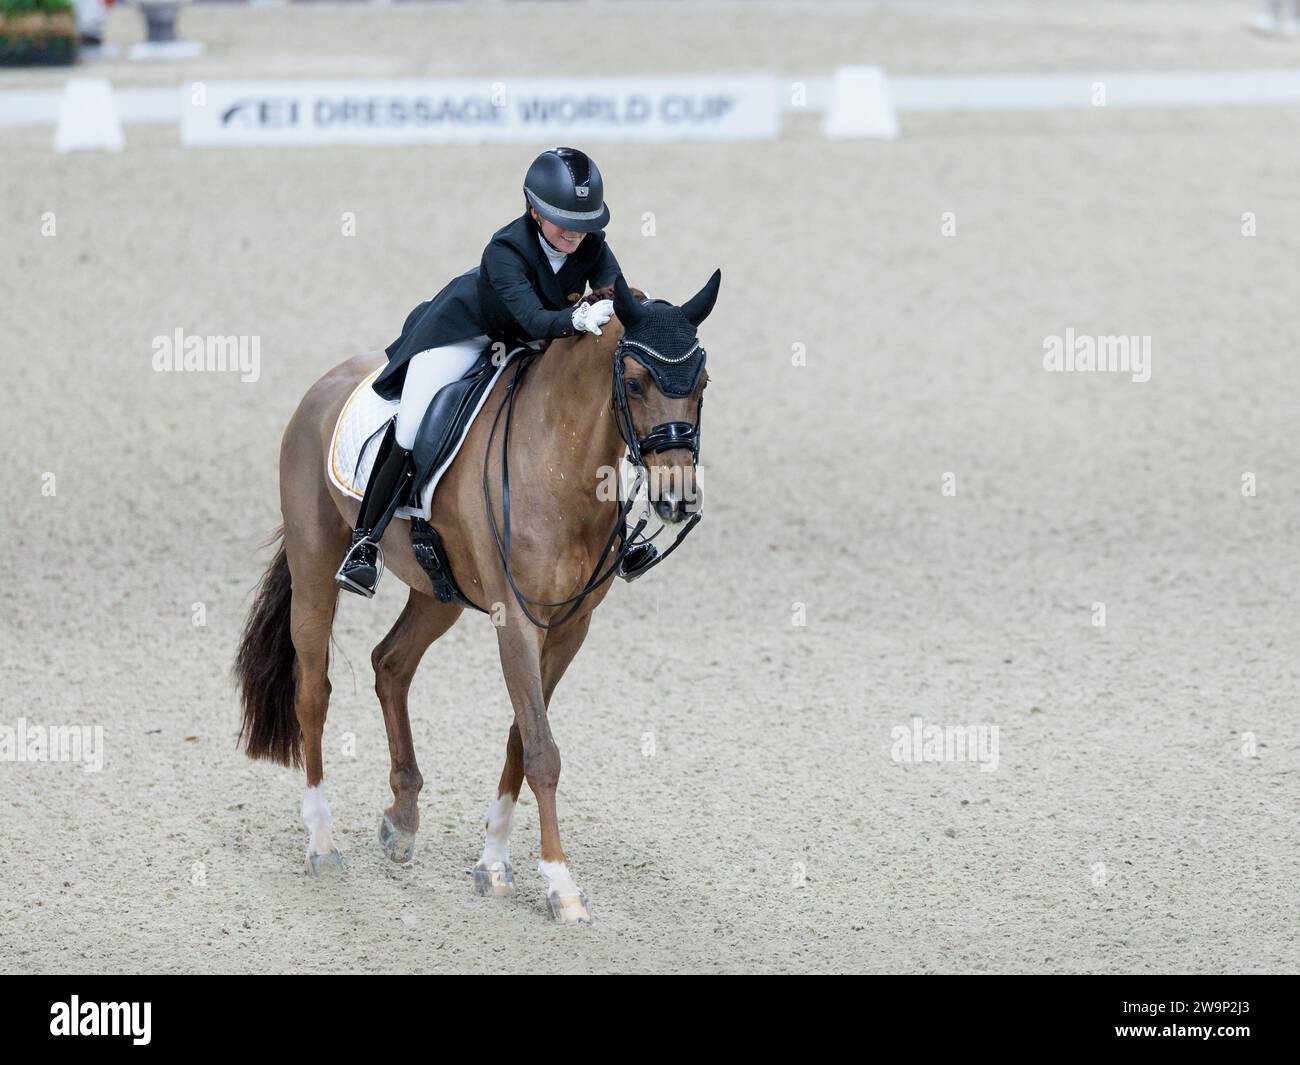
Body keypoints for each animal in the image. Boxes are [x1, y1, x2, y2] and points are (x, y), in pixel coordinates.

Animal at [233, 270, 722, 920]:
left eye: (702, 383)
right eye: (637, 382)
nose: (677, 500)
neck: (560, 462)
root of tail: (327, 382)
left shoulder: (569, 627)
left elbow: (522, 737)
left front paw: (493, 865)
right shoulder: (515, 618)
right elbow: (541, 749)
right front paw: (561, 885)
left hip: (437, 591)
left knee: (390, 664)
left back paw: (402, 822)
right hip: (316, 568)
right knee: (314, 692)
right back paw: (322, 844)